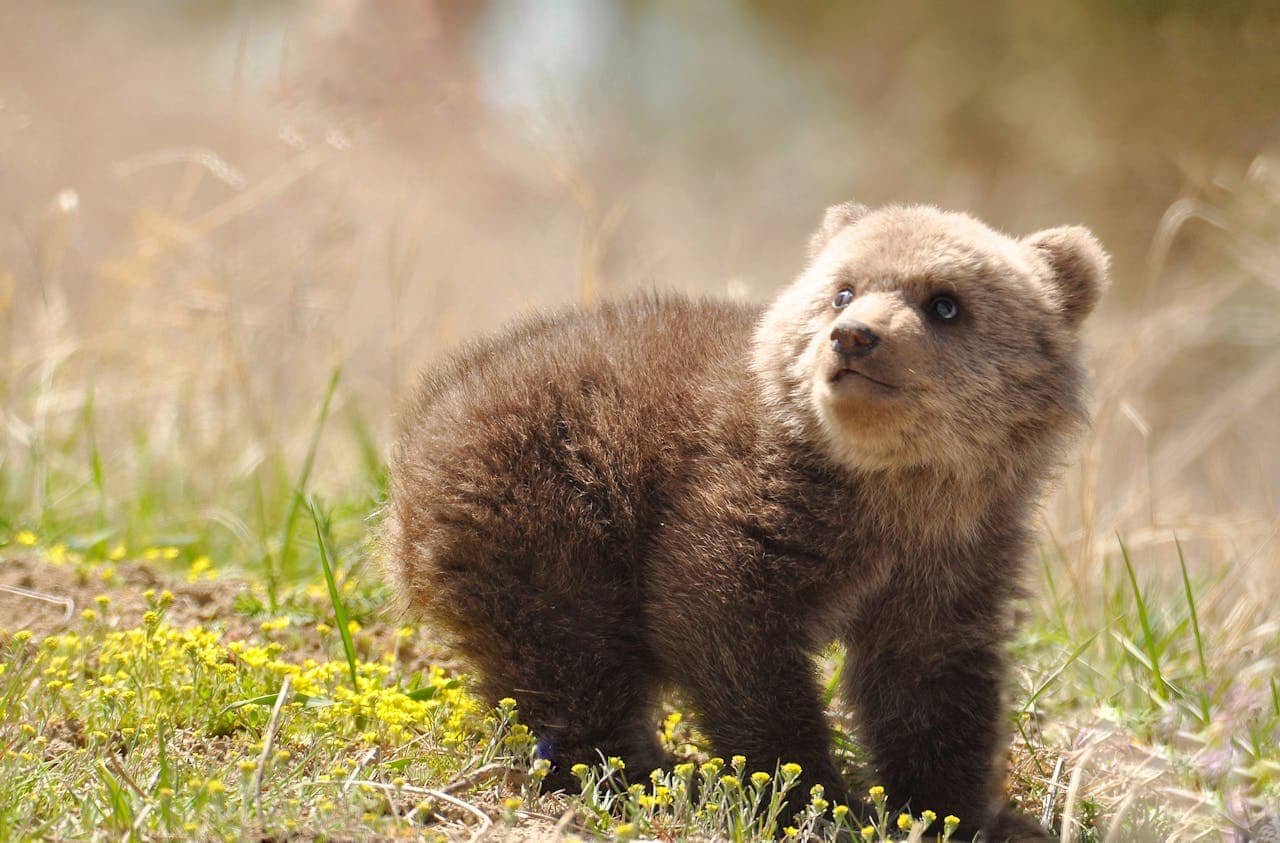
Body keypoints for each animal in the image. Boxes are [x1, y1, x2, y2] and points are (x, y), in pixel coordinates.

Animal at [384, 202, 1107, 840]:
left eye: (946, 302)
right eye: (843, 290)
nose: (855, 336)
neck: (888, 488)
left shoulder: (953, 555)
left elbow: (931, 683)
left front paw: (953, 811)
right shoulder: (747, 503)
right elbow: (727, 627)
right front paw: (811, 793)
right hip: (555, 499)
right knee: (569, 649)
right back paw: (632, 772)